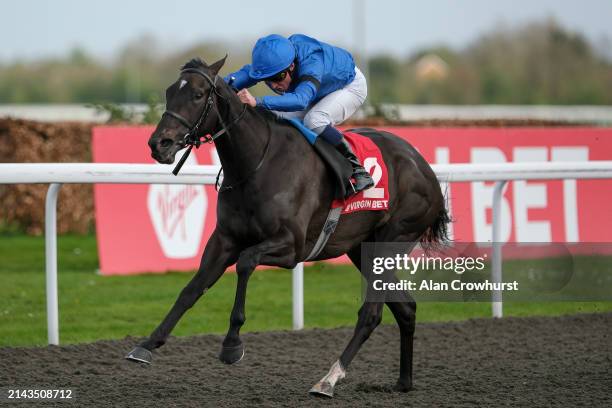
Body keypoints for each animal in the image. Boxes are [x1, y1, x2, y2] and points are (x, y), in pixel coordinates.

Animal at [128, 55, 450, 396]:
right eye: (169, 92)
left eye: (198, 95)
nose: (158, 144)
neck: (257, 164)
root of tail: (425, 168)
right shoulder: (224, 240)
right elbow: (192, 288)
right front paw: (147, 344)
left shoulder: (291, 247)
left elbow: (246, 262)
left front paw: (232, 344)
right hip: (362, 250)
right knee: (406, 308)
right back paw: (403, 382)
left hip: (391, 240)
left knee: (371, 313)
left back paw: (328, 379)